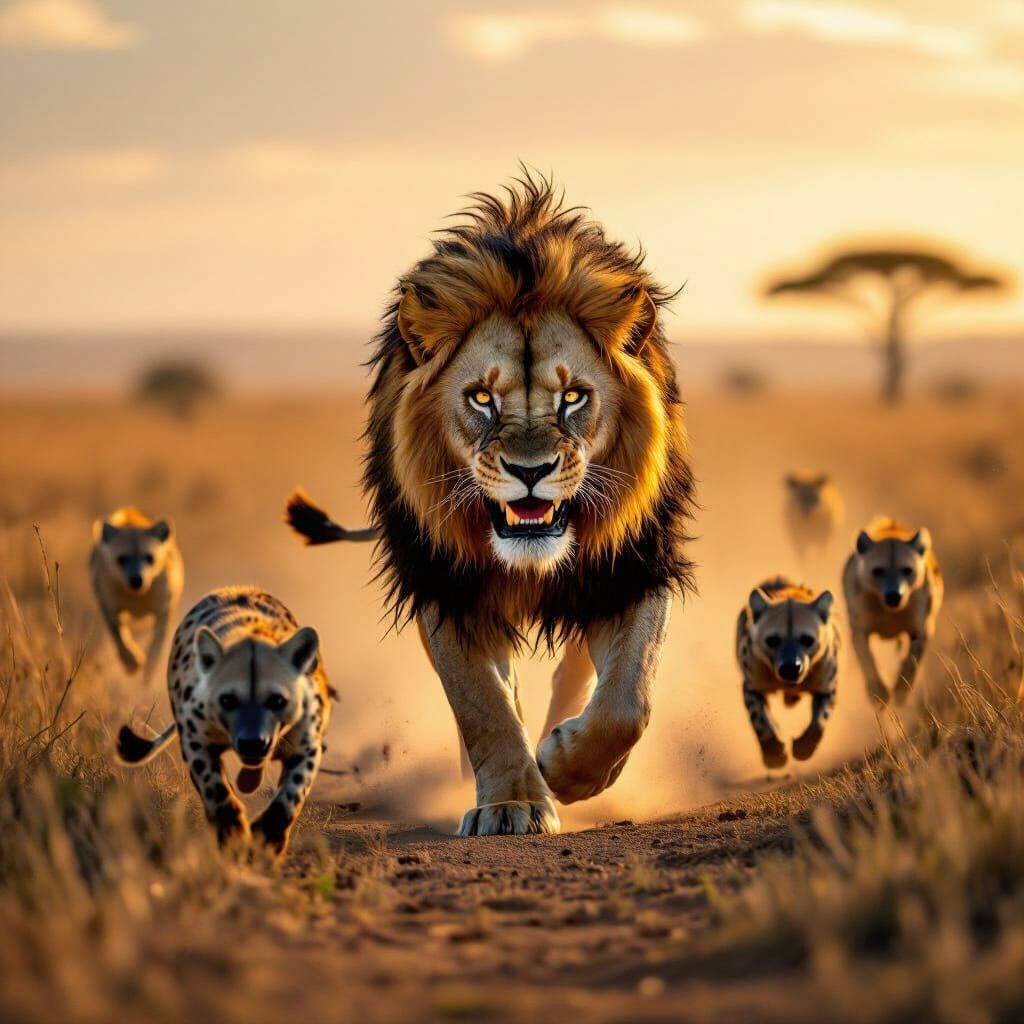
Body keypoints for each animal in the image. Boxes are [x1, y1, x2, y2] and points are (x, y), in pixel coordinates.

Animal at [286, 172, 695, 836]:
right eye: (481, 398)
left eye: (574, 397)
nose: (530, 473)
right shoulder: (444, 584)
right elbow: (481, 703)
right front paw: (512, 803)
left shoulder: (632, 567)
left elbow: (627, 699)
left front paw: (569, 768)